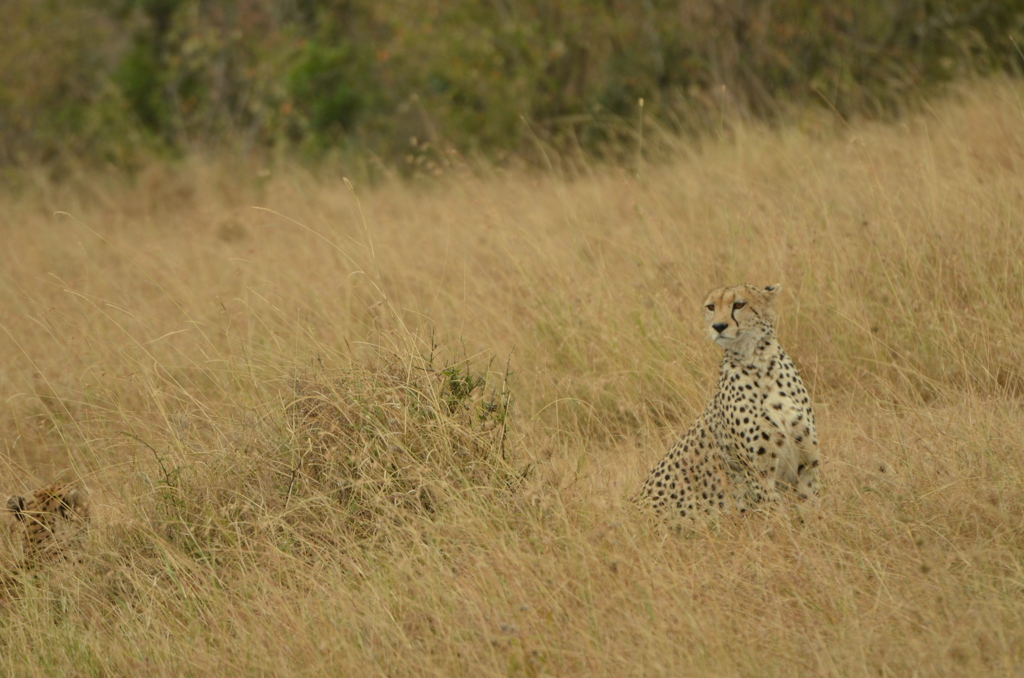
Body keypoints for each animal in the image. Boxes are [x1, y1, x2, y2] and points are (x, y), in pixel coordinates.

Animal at [634, 282, 819, 520]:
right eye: (711, 307)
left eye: (739, 304)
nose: (718, 326)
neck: (761, 364)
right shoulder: (759, 473)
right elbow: (776, 516)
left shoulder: (807, 463)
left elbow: (812, 507)